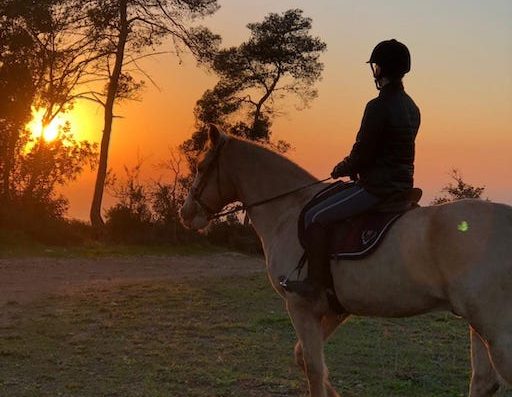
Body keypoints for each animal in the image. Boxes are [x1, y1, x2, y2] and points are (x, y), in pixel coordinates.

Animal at [180, 124, 512, 396]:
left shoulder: (300, 306)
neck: (288, 210)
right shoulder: (334, 309)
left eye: (200, 165)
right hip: (477, 325)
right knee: (484, 382)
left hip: (495, 330)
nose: (186, 214)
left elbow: (314, 369)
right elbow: (304, 359)